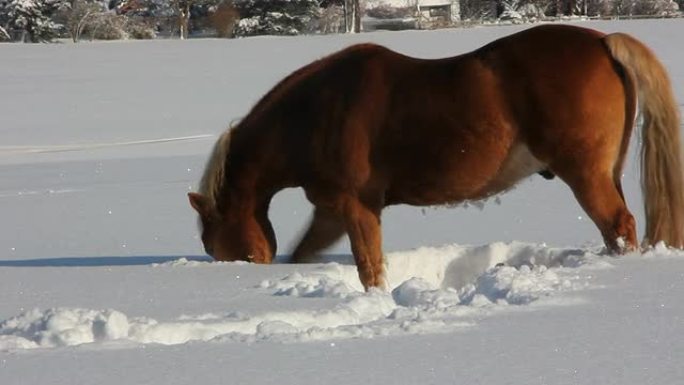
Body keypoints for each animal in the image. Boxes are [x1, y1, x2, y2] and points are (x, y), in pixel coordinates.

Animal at [188, 24, 684, 288]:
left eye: (212, 243)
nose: (239, 272)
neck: (318, 112)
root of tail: (603, 40)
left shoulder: (355, 207)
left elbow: (370, 267)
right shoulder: (331, 211)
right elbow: (306, 251)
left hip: (585, 175)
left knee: (619, 226)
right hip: (606, 173)